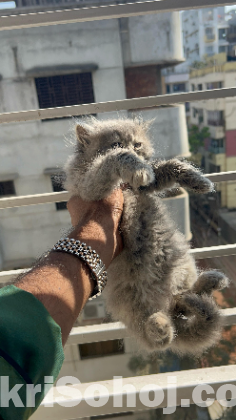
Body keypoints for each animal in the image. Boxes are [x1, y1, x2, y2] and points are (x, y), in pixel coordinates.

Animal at [64, 117, 229, 354]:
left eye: (138, 144)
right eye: (116, 144)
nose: (134, 150)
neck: (128, 187)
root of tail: (167, 300)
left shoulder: (147, 185)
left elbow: (167, 166)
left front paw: (198, 180)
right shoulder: (88, 187)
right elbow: (112, 160)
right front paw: (137, 167)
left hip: (183, 269)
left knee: (186, 299)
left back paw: (212, 281)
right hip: (135, 306)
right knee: (157, 335)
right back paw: (160, 325)